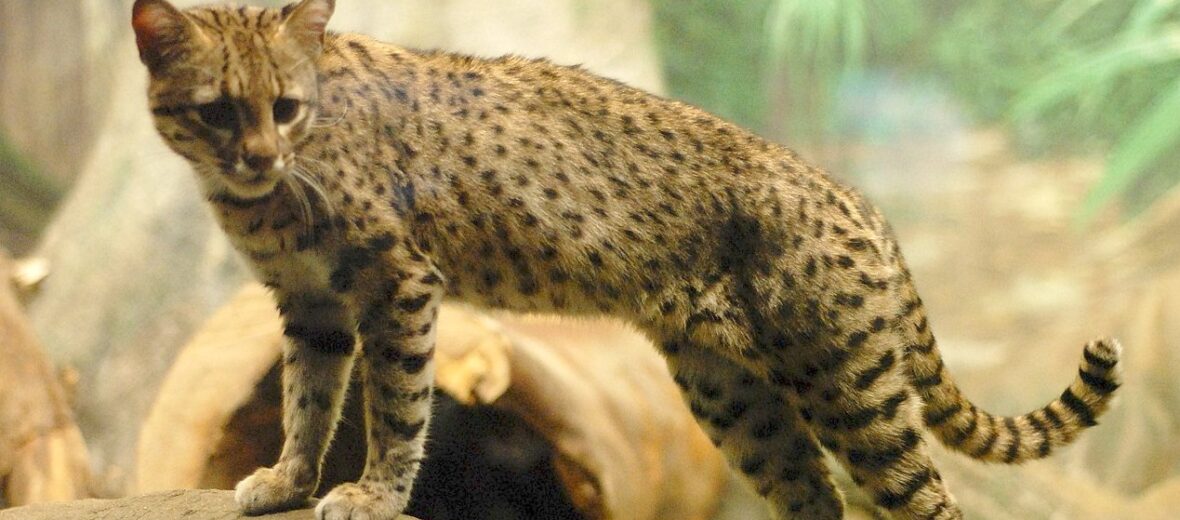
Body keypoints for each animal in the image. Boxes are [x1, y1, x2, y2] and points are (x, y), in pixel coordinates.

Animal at [131, 1, 1123, 518]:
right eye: (218, 110)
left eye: (285, 107)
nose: (256, 158)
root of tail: (859, 199)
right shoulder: (313, 305)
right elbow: (305, 400)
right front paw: (285, 480)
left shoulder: (398, 287)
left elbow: (396, 408)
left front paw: (370, 494)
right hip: (734, 394)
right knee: (816, 498)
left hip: (852, 391)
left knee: (925, 502)